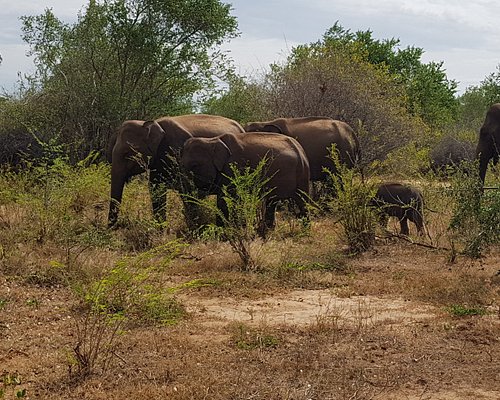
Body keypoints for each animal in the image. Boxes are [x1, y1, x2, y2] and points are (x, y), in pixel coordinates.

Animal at [107, 114, 244, 227]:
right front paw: (160, 230)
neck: (151, 123)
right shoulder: (158, 161)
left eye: (127, 154)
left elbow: (186, 190)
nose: (114, 228)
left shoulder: (177, 152)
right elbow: (156, 189)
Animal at [180, 131, 310, 234]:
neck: (211, 140)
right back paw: (267, 231)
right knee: (272, 201)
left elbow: (224, 200)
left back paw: (305, 231)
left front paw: (222, 232)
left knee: (302, 200)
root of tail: (300, 149)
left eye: (194, 165)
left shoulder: (233, 167)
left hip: (302, 175)